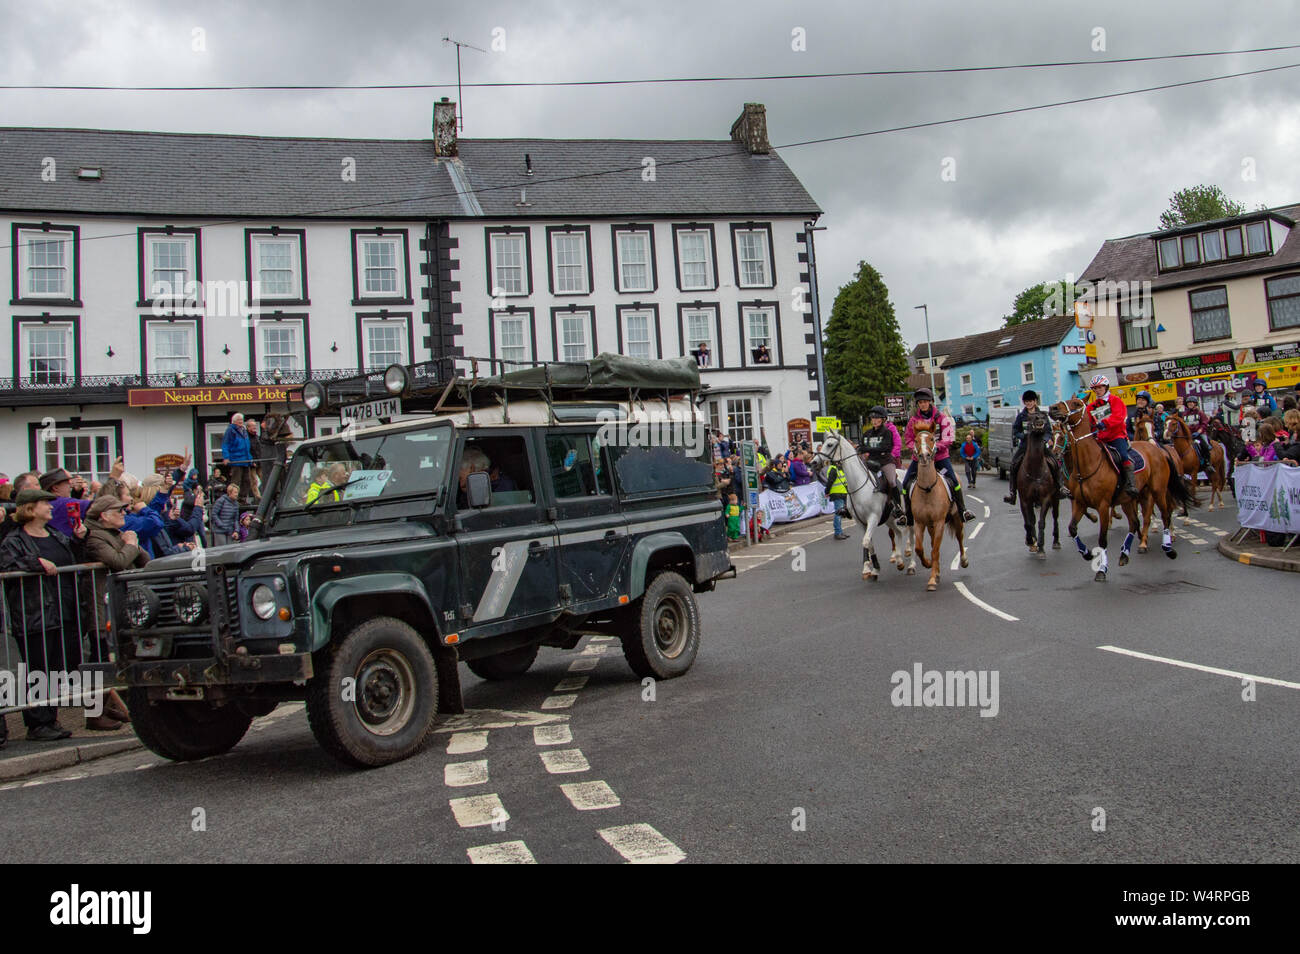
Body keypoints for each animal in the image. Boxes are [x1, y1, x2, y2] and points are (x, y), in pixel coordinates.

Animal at [816, 431, 909, 582]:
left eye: (829, 445)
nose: (813, 462)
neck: (858, 484)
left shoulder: (873, 518)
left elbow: (865, 542)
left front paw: (871, 568)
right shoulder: (861, 522)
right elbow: (868, 543)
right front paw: (871, 569)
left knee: (910, 531)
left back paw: (908, 553)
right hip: (889, 519)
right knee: (898, 533)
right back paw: (899, 560)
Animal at [904, 423, 967, 595]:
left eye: (932, 439)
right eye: (916, 440)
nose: (924, 456)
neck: (927, 489)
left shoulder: (939, 522)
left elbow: (936, 550)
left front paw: (932, 579)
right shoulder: (919, 522)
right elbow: (919, 548)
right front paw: (928, 565)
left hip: (956, 519)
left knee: (960, 537)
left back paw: (963, 561)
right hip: (930, 525)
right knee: (932, 543)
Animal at [1013, 408, 1055, 556]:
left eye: (1044, 415)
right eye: (1030, 417)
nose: (1039, 418)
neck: (1036, 468)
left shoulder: (1046, 498)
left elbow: (1041, 522)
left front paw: (1041, 547)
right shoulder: (1025, 499)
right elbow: (1029, 522)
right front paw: (1031, 541)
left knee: (1055, 517)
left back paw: (1056, 542)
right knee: (1030, 520)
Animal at [1050, 397, 1190, 582]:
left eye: (1077, 404)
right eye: (1053, 438)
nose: (1053, 408)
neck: (1087, 465)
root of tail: (1157, 449)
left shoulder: (1103, 505)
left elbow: (1102, 539)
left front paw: (1102, 569)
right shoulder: (1079, 502)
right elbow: (1072, 529)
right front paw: (1087, 553)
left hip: (1157, 491)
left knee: (1165, 515)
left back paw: (1168, 548)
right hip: (1128, 499)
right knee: (1134, 523)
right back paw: (1125, 554)